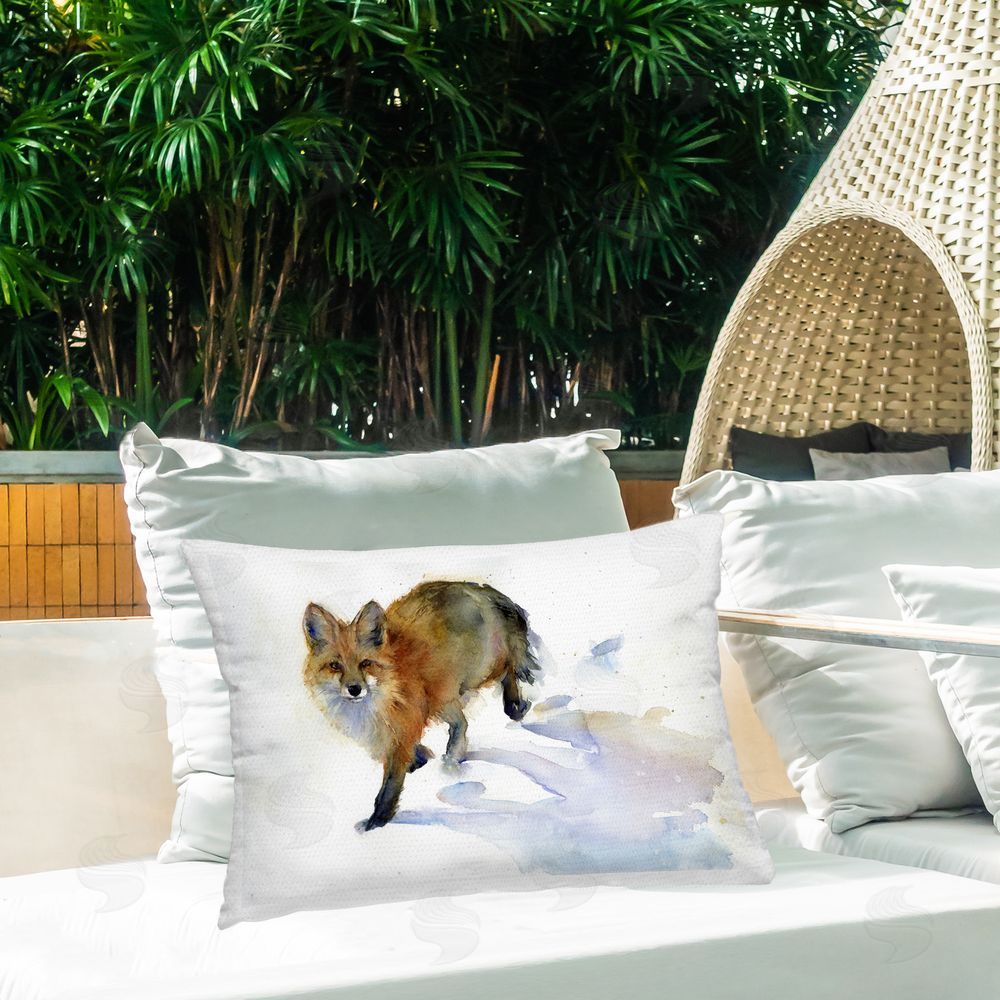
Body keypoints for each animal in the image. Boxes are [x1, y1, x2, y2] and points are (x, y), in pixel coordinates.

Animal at [302, 580, 539, 831]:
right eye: (335, 666)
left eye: (365, 663)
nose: (354, 689)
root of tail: (475, 587)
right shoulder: (389, 735)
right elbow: (412, 755)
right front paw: (420, 760)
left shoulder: (402, 733)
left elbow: (389, 787)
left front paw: (377, 822)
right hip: (443, 697)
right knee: (462, 723)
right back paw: (453, 756)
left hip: (473, 676)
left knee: (507, 667)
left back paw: (513, 705)